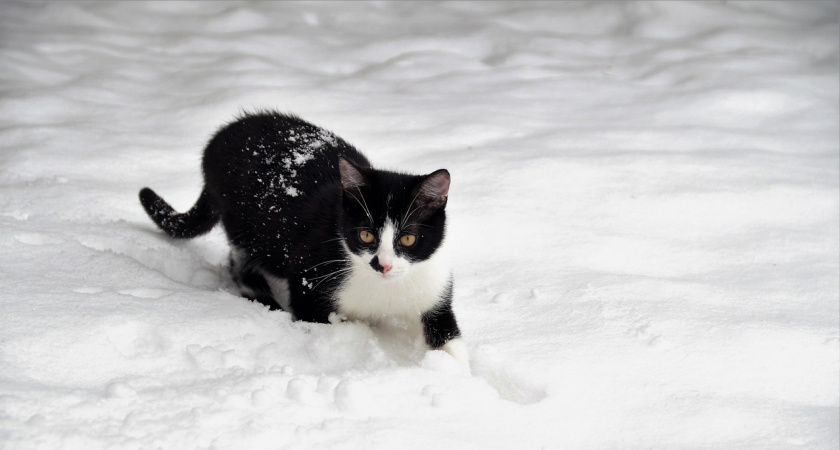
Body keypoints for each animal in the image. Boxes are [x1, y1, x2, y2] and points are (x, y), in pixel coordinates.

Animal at [137, 111, 466, 370]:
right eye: (366, 234)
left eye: (408, 238)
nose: (382, 265)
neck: (384, 290)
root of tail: (219, 138)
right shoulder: (310, 277)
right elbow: (314, 318)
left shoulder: (434, 287)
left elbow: (449, 337)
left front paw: (455, 374)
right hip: (247, 224)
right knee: (241, 260)